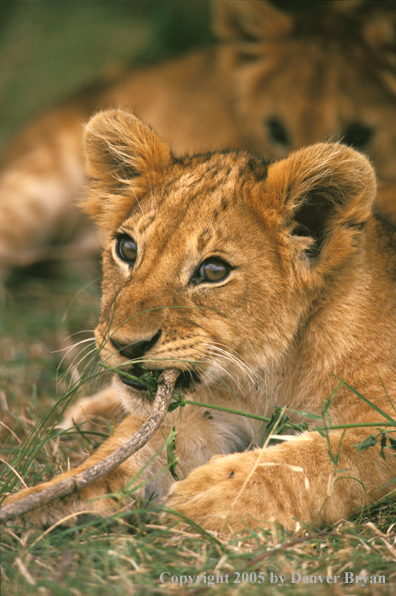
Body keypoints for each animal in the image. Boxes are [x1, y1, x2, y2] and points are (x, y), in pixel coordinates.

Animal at [3, 110, 396, 532]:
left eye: (213, 271)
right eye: (127, 249)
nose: (127, 345)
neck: (268, 371)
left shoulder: (380, 423)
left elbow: (328, 458)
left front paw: (218, 496)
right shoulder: (198, 412)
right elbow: (119, 461)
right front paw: (39, 500)